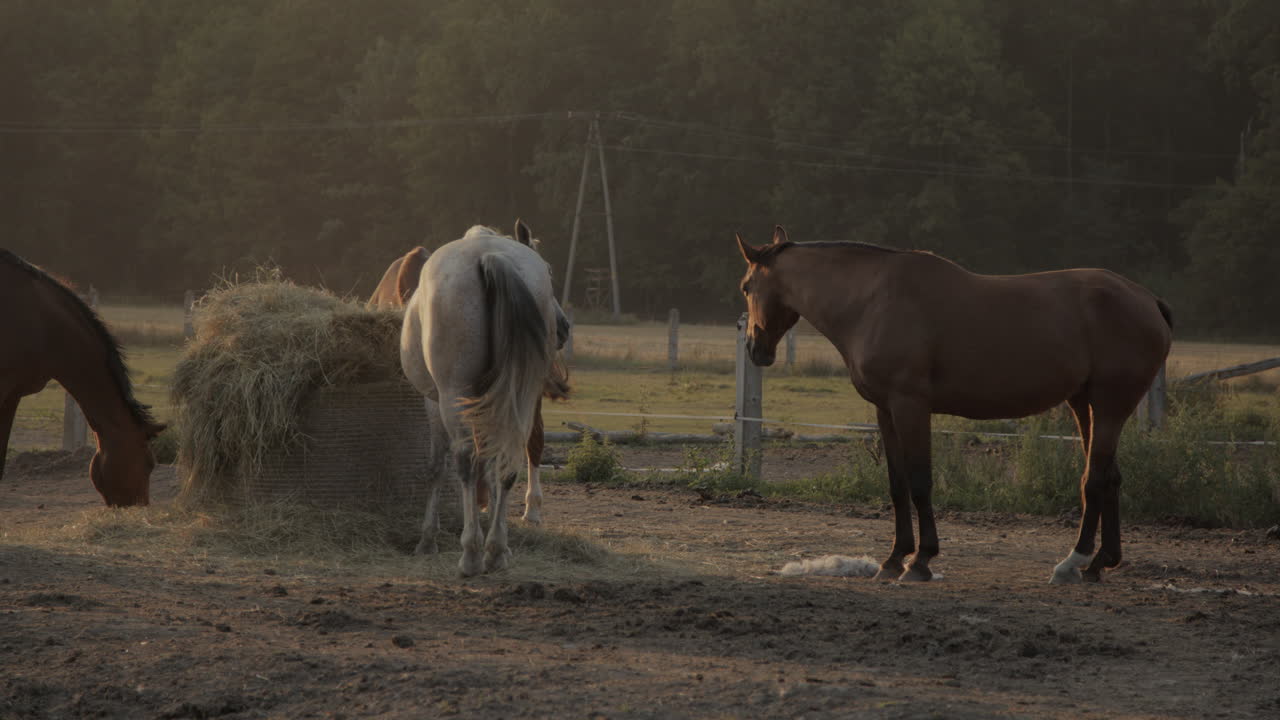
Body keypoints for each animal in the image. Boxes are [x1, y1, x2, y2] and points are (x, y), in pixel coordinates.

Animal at [372, 233, 569, 529]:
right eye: (548, 270)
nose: (563, 327)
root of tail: (490, 256)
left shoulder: (439, 399)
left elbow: (444, 461)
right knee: (512, 447)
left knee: (504, 448)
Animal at [735, 226, 1172, 584]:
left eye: (745, 286)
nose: (755, 349)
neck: (872, 300)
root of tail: (1148, 300)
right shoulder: (885, 410)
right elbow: (897, 484)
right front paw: (893, 559)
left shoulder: (910, 405)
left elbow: (919, 482)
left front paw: (921, 561)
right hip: (1085, 405)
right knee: (1109, 477)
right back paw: (1100, 563)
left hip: (1110, 406)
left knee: (1093, 479)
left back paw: (1072, 563)